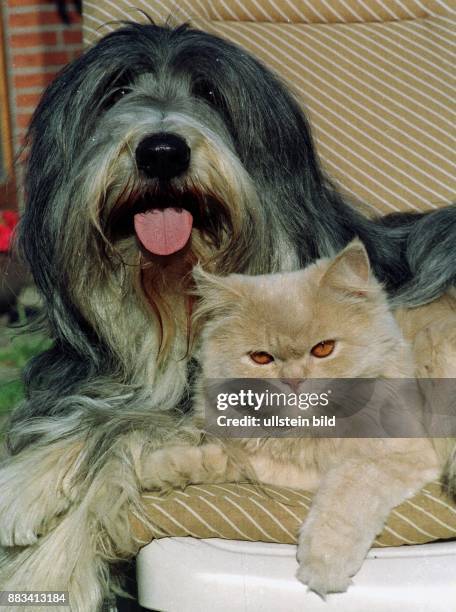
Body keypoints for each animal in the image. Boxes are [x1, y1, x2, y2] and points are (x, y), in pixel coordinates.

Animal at [0, 21, 456, 608]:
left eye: (210, 92)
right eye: (117, 90)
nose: (162, 152)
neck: (174, 303)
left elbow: (123, 428)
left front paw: (39, 554)